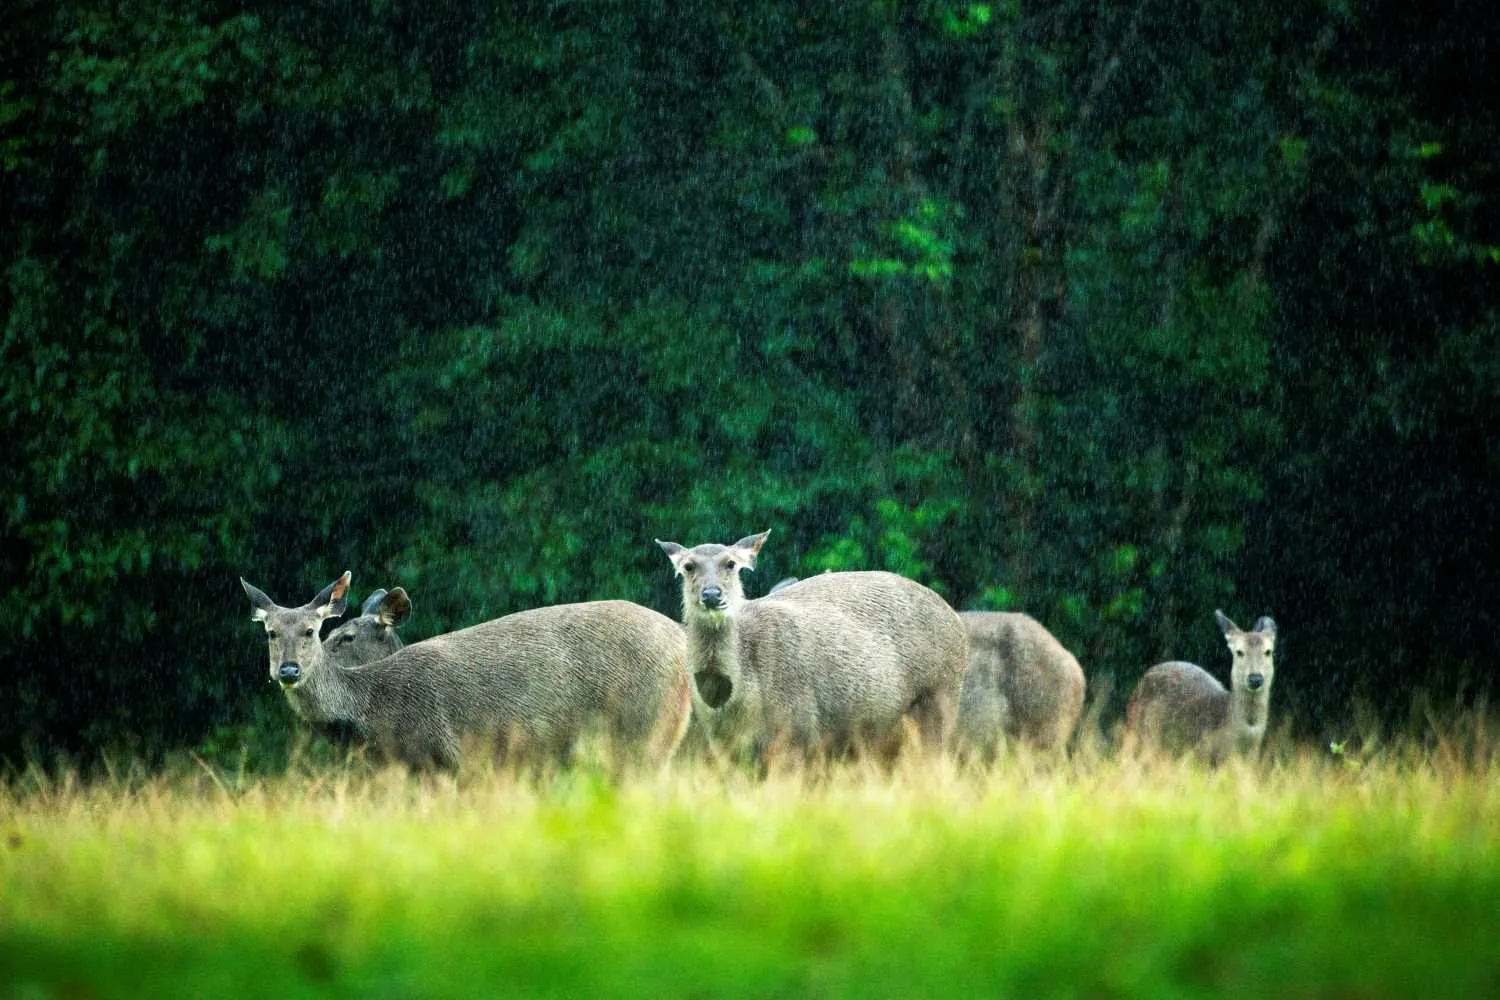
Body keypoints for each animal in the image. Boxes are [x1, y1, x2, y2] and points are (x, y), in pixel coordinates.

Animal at [243, 569, 693, 773]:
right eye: (269, 631)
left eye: (314, 630)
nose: (287, 670)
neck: (372, 711)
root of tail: (682, 638)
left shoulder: (444, 757)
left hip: (645, 727)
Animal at [660, 530, 972, 767]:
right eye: (688, 566)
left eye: (731, 564)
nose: (712, 595)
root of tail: (956, 620)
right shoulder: (726, 749)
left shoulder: (796, 731)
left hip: (938, 699)